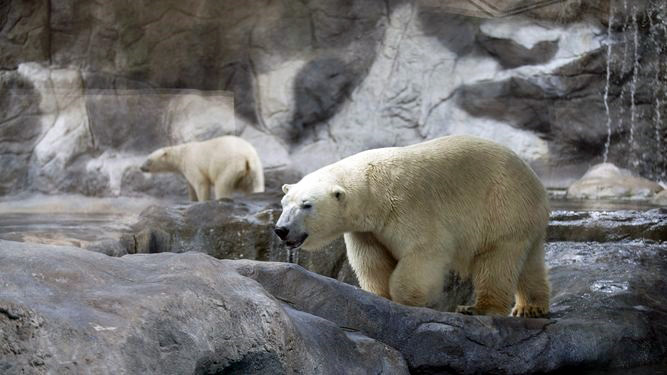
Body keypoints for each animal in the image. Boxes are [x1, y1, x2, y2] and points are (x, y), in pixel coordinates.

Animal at [274, 135, 552, 318]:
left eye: (306, 205)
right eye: (284, 203)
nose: (281, 229)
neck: (373, 189)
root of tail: (536, 182)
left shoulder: (408, 206)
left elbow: (423, 252)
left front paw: (408, 301)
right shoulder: (366, 230)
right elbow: (372, 261)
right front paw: (378, 296)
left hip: (501, 204)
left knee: (496, 259)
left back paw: (478, 308)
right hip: (521, 216)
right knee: (530, 262)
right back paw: (531, 307)